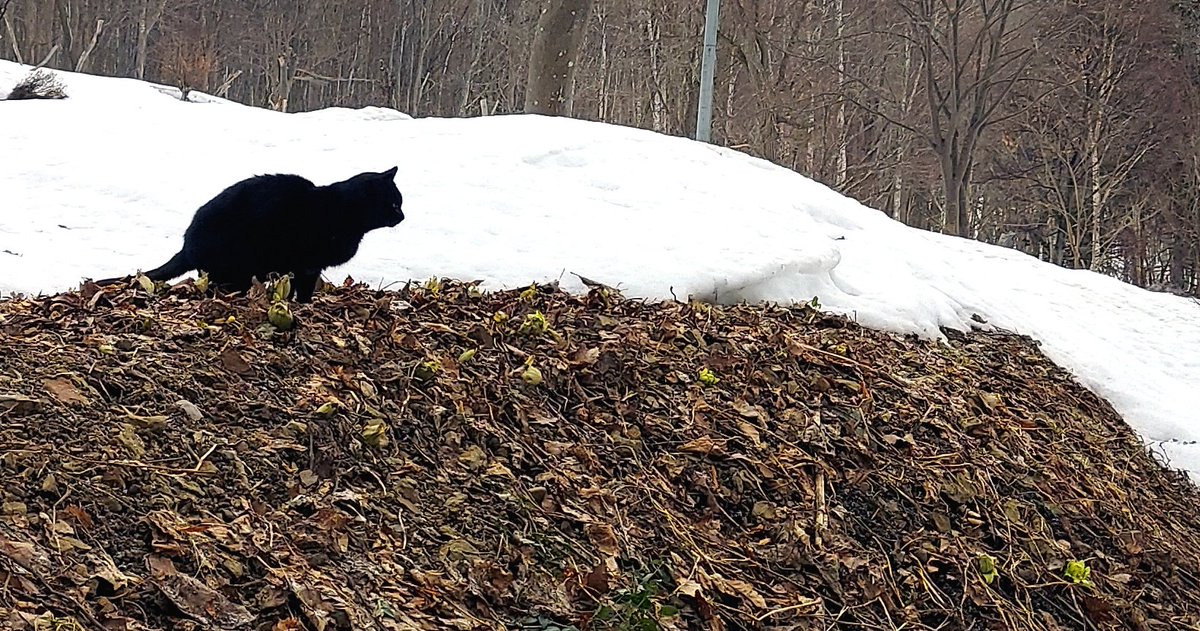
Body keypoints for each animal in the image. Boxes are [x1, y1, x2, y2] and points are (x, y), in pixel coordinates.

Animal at [96, 167, 405, 304]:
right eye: (394, 204)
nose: (403, 216)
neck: (344, 211)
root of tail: (187, 245)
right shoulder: (308, 264)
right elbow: (304, 289)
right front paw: (305, 304)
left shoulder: (302, 267)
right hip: (237, 263)